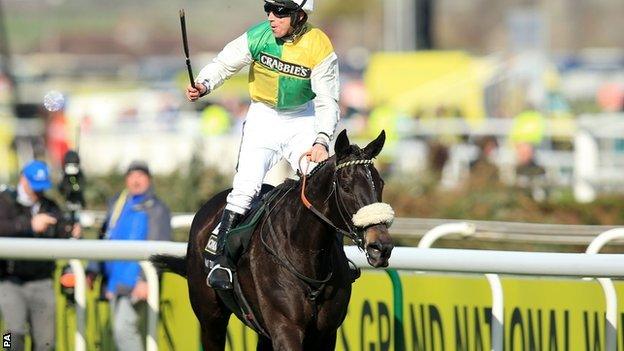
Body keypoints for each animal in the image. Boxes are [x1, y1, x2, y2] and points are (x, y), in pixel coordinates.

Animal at [153, 131, 392, 351]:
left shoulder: (326, 334)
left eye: (380, 183)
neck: (305, 254)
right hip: (210, 317)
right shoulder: (285, 329)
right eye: (346, 186)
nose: (381, 246)